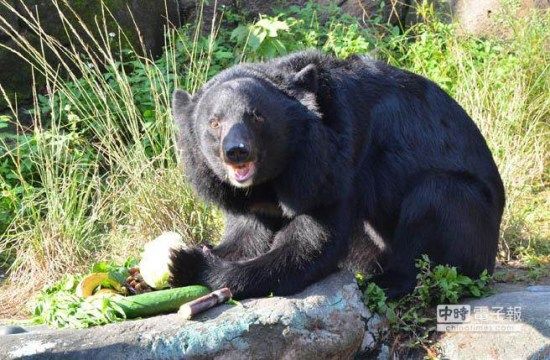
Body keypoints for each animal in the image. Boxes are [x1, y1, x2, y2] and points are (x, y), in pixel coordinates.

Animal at [170, 50, 506, 298]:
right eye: (215, 122)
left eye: (256, 116)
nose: (237, 151)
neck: (272, 176)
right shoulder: (248, 196)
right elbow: (247, 235)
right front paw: (189, 252)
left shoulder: (331, 167)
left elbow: (309, 244)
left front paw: (186, 264)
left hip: (466, 208)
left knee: (435, 201)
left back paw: (382, 282)